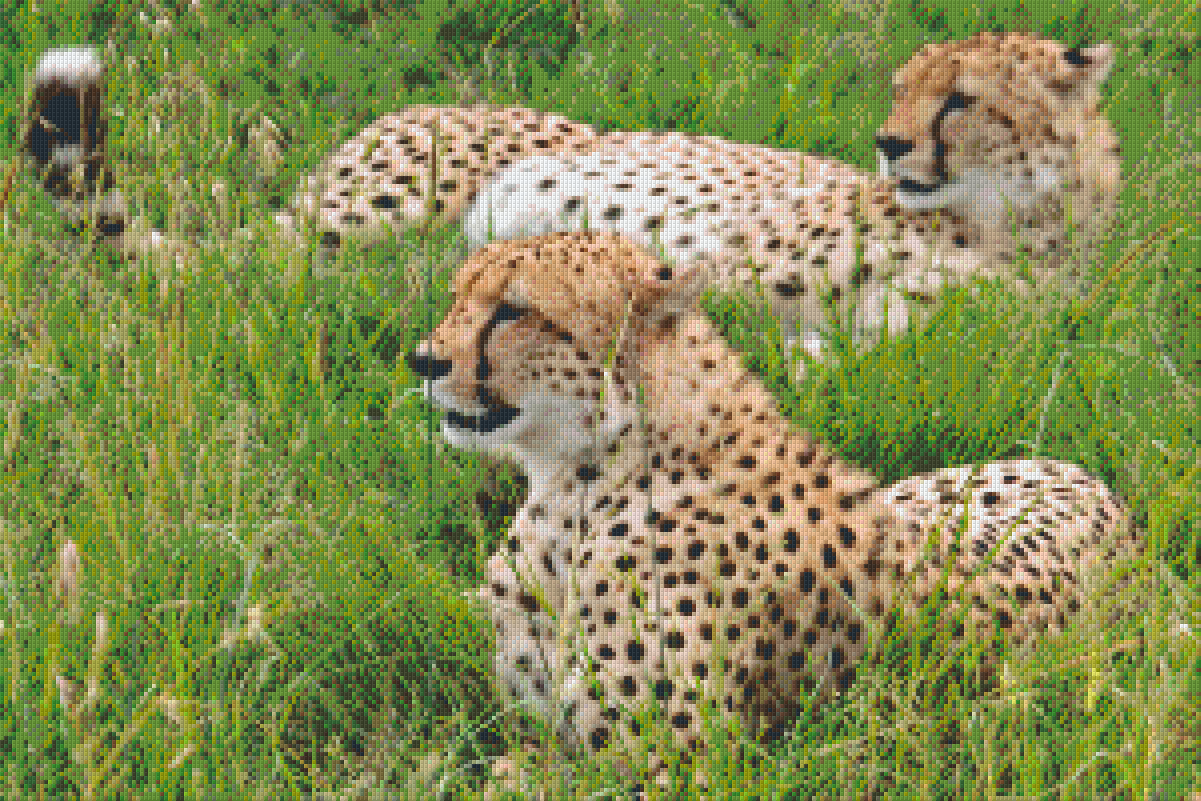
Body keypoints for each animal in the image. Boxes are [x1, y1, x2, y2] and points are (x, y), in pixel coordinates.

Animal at [22, 32, 1120, 364]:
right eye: (901, 86)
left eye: (959, 98)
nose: (890, 144)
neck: (1011, 225)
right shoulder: (729, 265)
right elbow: (697, 297)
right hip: (389, 205)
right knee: (245, 269)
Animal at [406, 230, 1138, 792]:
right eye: (457, 296)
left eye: (512, 311)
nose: (422, 360)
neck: (582, 479)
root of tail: (1096, 483)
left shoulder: (682, 764)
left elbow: (510, 774)